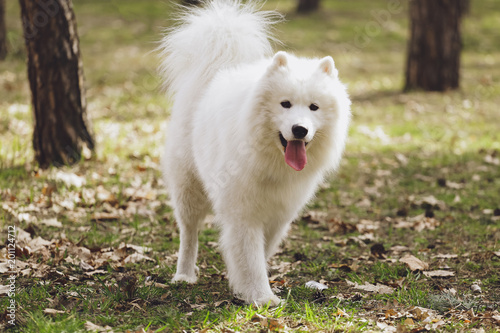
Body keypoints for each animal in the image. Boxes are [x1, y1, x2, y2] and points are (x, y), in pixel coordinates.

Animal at [160, 0, 352, 306]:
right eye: (285, 104)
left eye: (314, 107)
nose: (299, 129)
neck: (272, 162)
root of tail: (216, 73)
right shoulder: (244, 213)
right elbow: (250, 258)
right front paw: (263, 298)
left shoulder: (279, 215)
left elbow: (260, 253)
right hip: (189, 189)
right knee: (189, 233)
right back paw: (184, 275)